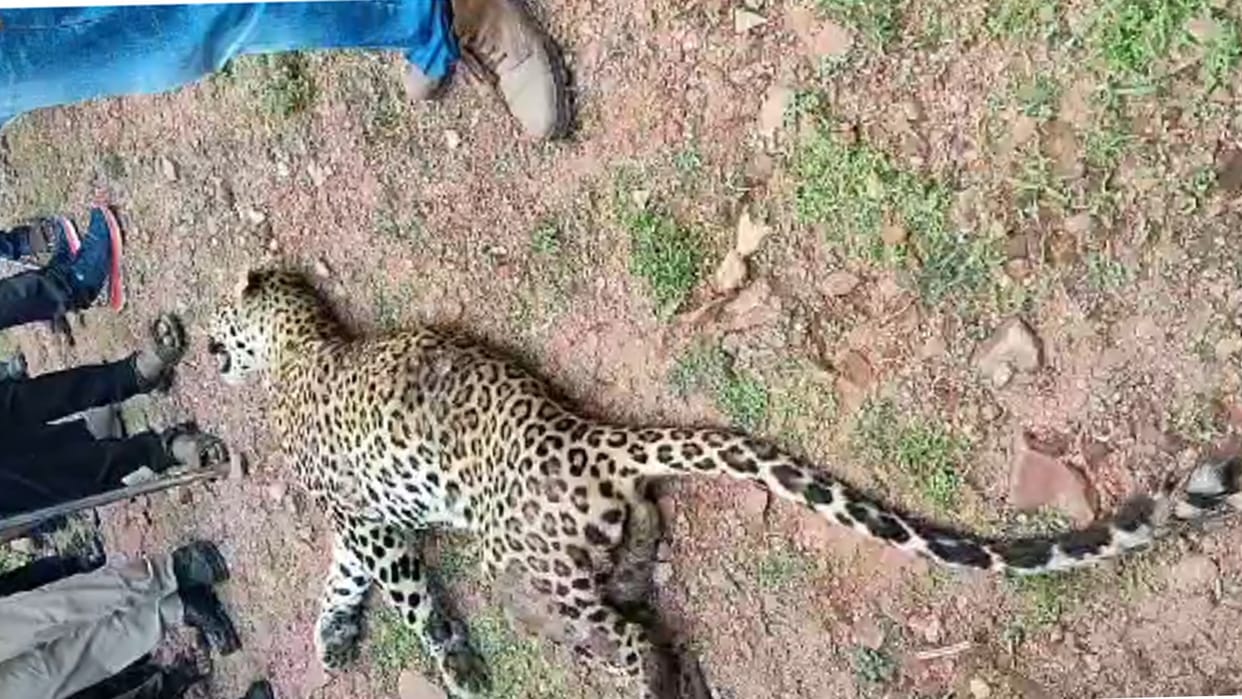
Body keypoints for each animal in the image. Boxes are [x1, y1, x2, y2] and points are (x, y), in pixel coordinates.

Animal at [207, 268, 1229, 698]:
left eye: (217, 327)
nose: (209, 355)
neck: (304, 346)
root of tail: (589, 436)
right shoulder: (363, 527)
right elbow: (341, 578)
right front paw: (333, 636)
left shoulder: (373, 525)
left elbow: (406, 594)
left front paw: (452, 665)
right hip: (602, 545)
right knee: (641, 592)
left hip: (530, 564)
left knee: (622, 633)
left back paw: (652, 683)